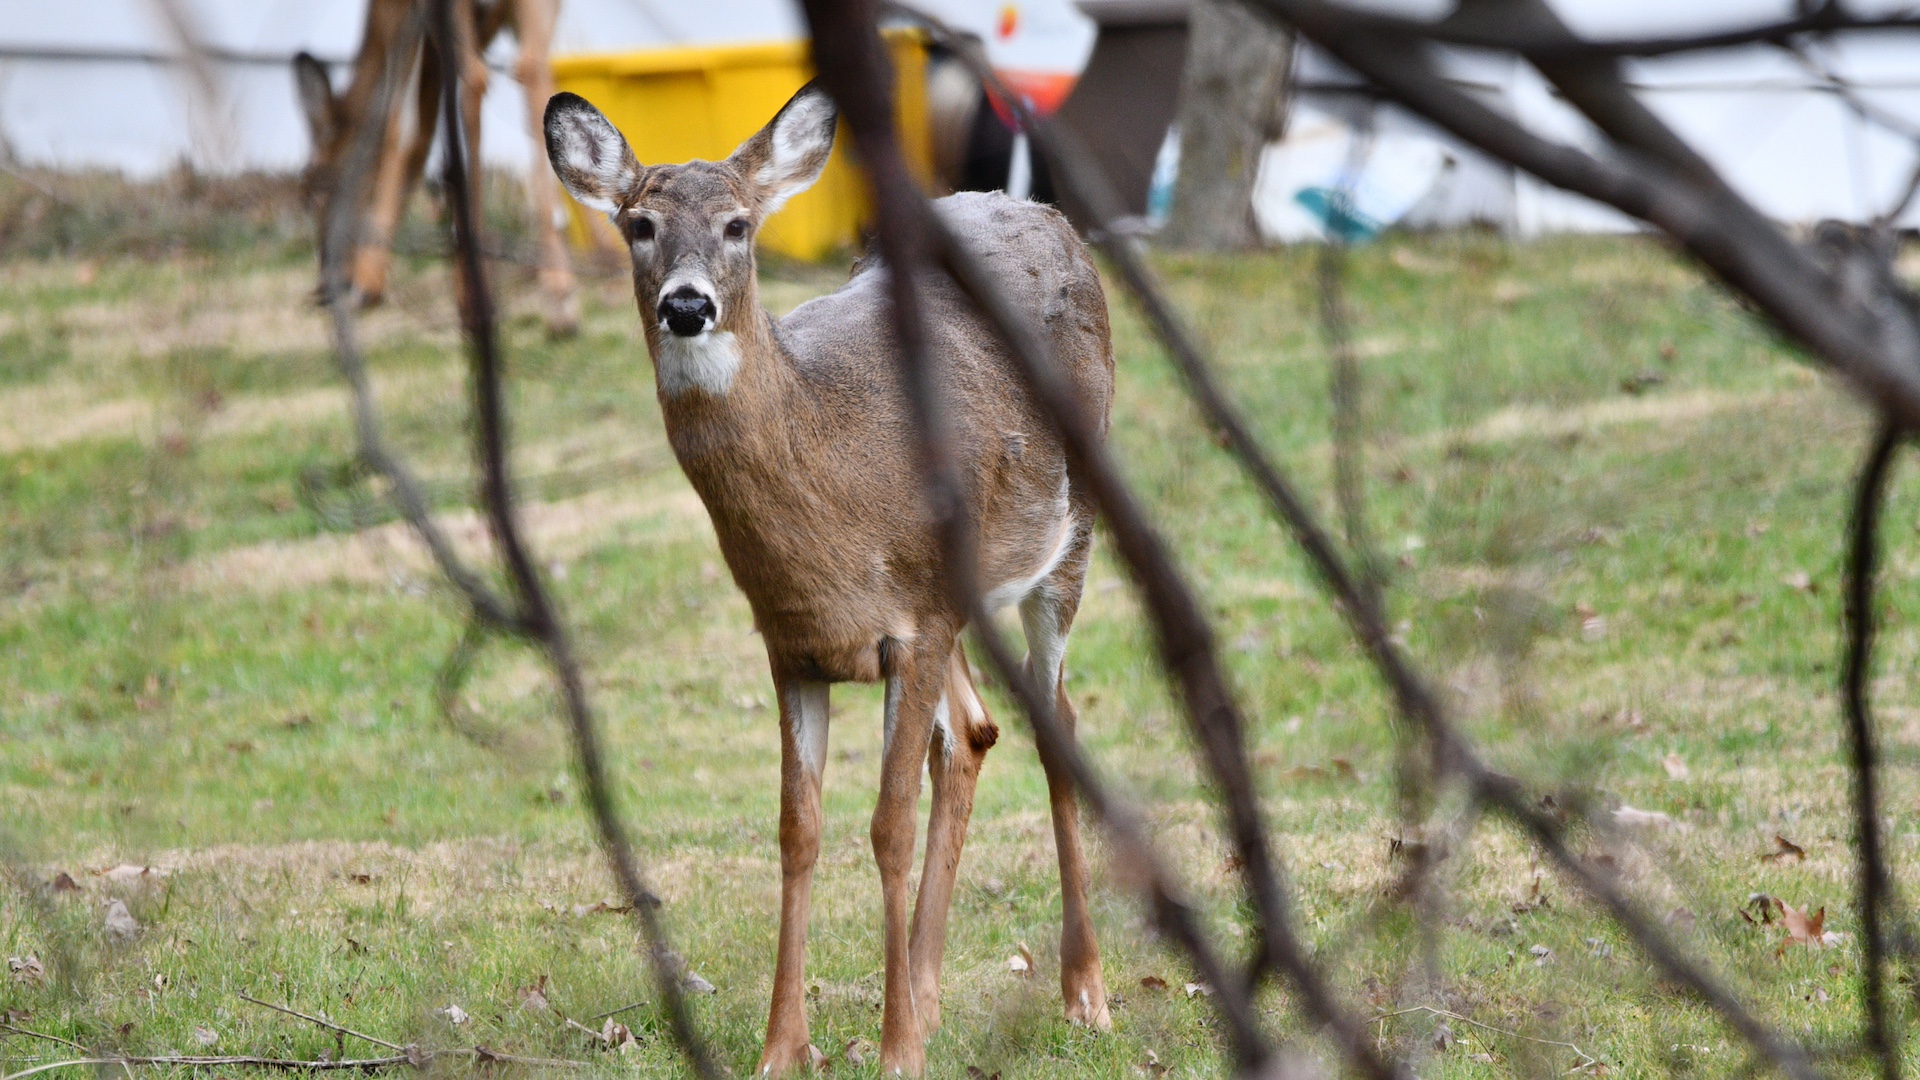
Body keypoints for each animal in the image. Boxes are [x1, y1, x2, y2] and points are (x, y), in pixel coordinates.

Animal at [295, 0, 579, 332]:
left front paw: (368, 283)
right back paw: (559, 299)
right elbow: (425, 123)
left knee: (473, 81)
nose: (326, 283)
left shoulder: (395, 11)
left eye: (313, 193)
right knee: (532, 68)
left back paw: (477, 301)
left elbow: (399, 126)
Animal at [541, 79, 1113, 1068]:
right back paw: (926, 991)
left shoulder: (913, 623)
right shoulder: (794, 643)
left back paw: (1082, 991)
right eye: (639, 225)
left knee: (1056, 722)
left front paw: (897, 1055)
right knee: (972, 735)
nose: (686, 306)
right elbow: (797, 831)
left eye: (738, 225)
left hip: (1067, 539)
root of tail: (1043, 212)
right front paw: (787, 1048)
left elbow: (885, 825)